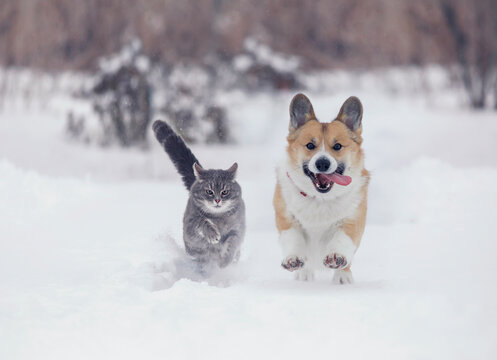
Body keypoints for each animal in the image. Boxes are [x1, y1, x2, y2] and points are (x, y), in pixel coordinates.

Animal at [272, 93, 368, 284]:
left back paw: (343, 276)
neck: (320, 199)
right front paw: (293, 259)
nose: (322, 163)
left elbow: (342, 240)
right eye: (310, 145)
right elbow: (292, 238)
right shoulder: (286, 218)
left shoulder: (352, 220)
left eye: (337, 146)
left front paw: (336, 258)